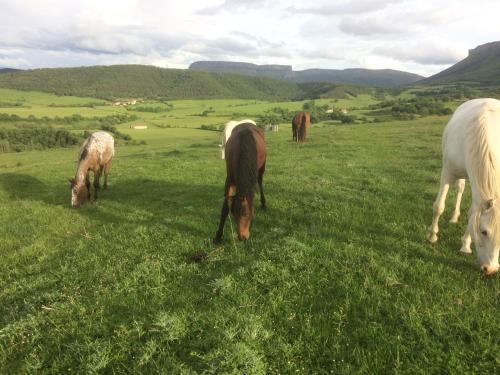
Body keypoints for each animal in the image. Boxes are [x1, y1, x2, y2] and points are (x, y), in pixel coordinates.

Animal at [426, 99, 500, 276]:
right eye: (484, 232)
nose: (491, 269)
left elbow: (473, 214)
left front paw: (465, 245)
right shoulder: (447, 172)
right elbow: (439, 207)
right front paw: (432, 236)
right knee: (459, 188)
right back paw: (453, 217)